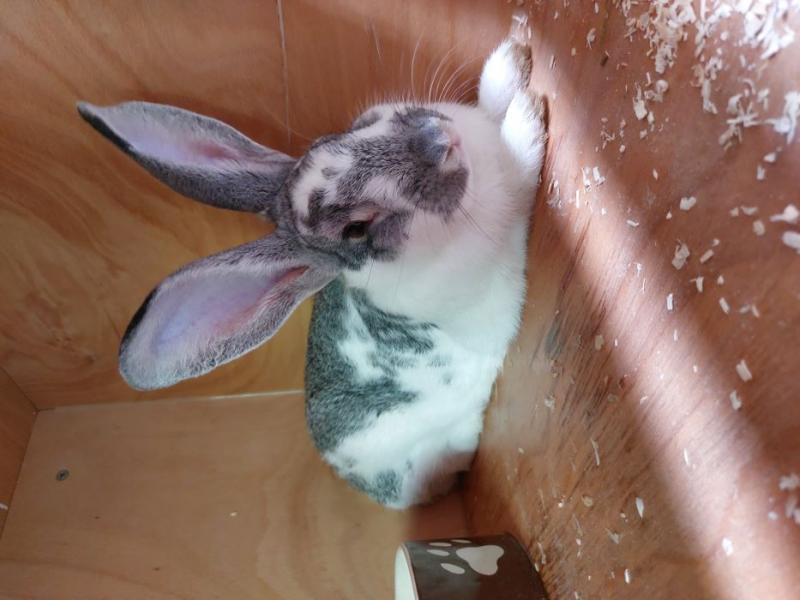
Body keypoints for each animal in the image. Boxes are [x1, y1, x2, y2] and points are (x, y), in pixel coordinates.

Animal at [77, 37, 547, 509]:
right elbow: (521, 181)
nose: (438, 140)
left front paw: (511, 61)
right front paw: (527, 117)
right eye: (356, 228)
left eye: (348, 130)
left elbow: (488, 109)